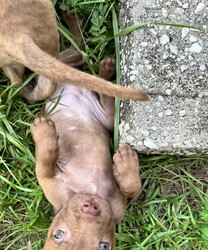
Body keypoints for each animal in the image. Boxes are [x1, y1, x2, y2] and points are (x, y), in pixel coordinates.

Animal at [30, 11, 142, 250]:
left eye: (104, 246)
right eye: (58, 234)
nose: (90, 207)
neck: (90, 190)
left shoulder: (117, 204)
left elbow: (131, 188)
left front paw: (126, 164)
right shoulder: (46, 178)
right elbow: (46, 157)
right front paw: (43, 132)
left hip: (93, 105)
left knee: (78, 62)